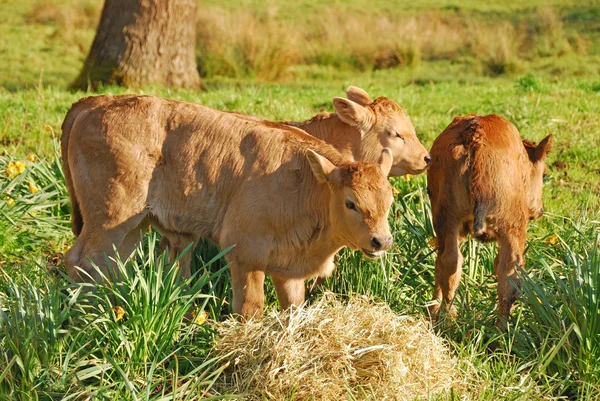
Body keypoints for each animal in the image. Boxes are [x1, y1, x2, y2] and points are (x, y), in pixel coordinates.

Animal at [61, 95, 394, 318]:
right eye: (350, 202)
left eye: (390, 200)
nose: (381, 241)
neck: (305, 182)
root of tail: (98, 102)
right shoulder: (246, 257)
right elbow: (250, 308)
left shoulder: (288, 269)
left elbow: (293, 307)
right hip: (109, 221)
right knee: (83, 263)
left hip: (132, 227)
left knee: (111, 265)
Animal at [428, 114, 552, 326]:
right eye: (543, 175)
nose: (540, 209)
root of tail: (476, 136)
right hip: (512, 229)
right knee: (508, 275)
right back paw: (500, 330)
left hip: (447, 223)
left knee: (449, 263)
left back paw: (445, 318)